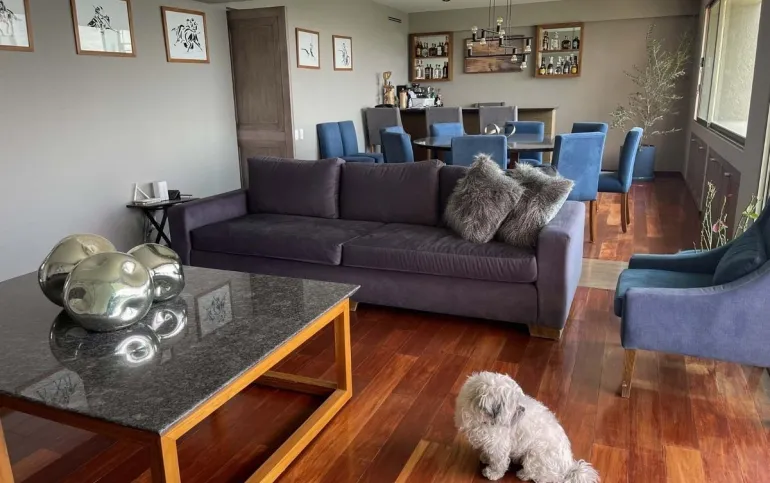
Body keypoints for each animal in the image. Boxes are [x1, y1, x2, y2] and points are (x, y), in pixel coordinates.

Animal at [455, 372, 600, 483]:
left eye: (518, 402)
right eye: (514, 405)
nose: (522, 409)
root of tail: (568, 468)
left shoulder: (499, 445)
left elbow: (498, 463)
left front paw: (493, 473)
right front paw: (485, 457)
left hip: (534, 456)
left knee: (540, 476)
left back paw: (523, 474)